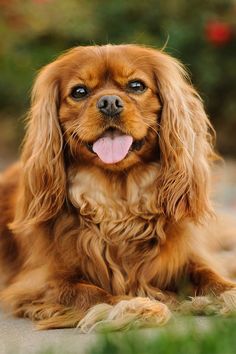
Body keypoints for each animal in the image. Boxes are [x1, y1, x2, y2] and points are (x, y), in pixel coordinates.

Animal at [0, 45, 236, 332]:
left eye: (136, 86)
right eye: (79, 92)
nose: (109, 102)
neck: (118, 199)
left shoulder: (186, 257)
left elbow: (208, 274)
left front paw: (228, 293)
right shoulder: (37, 282)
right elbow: (88, 292)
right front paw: (135, 305)